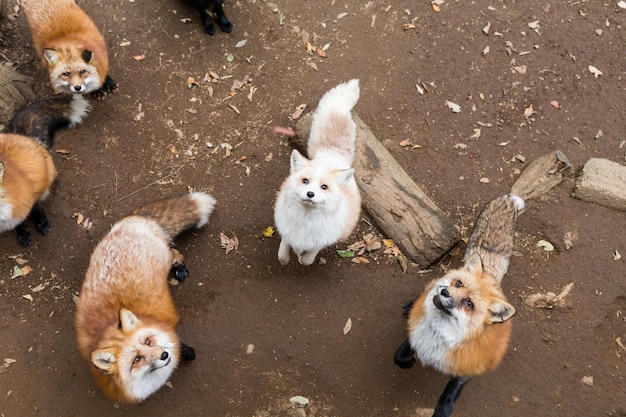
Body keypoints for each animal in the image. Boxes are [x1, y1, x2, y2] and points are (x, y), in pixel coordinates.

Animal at [74, 192, 216, 404]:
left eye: (148, 341)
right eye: (136, 359)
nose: (165, 355)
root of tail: (130, 221)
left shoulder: (167, 326)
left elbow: (180, 343)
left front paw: (187, 353)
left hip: (165, 257)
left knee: (175, 252)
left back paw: (179, 269)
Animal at [394, 195, 520, 416]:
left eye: (468, 304)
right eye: (458, 284)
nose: (445, 292)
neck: (438, 336)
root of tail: (491, 277)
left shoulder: (469, 364)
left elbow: (451, 391)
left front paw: (443, 410)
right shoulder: (417, 333)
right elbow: (398, 356)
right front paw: (408, 361)